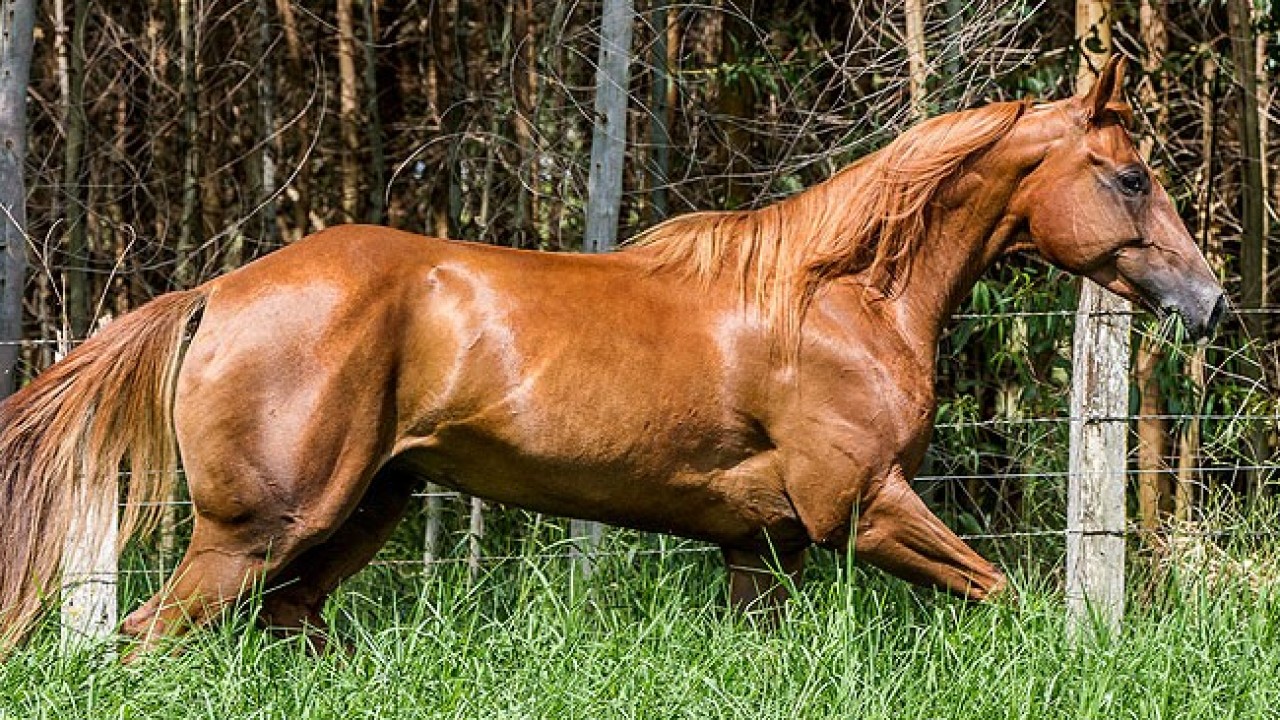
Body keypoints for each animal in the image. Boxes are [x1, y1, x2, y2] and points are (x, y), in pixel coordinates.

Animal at [0, 58, 1218, 653]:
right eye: (1129, 176)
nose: (1206, 302)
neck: (841, 297)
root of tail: (218, 292)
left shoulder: (764, 546)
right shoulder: (863, 507)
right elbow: (1009, 596)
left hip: (359, 516)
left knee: (289, 634)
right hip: (258, 531)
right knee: (147, 641)